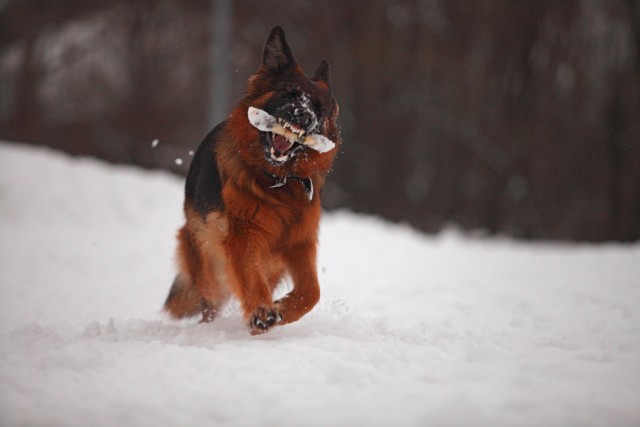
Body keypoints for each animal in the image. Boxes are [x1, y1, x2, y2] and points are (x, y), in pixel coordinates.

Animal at [165, 26, 342, 336]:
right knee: (210, 302)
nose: (304, 115)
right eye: (289, 93)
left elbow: (312, 291)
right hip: (208, 260)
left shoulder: (299, 242)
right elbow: (250, 276)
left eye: (318, 108)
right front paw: (261, 311)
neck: (280, 183)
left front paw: (283, 309)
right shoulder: (244, 235)